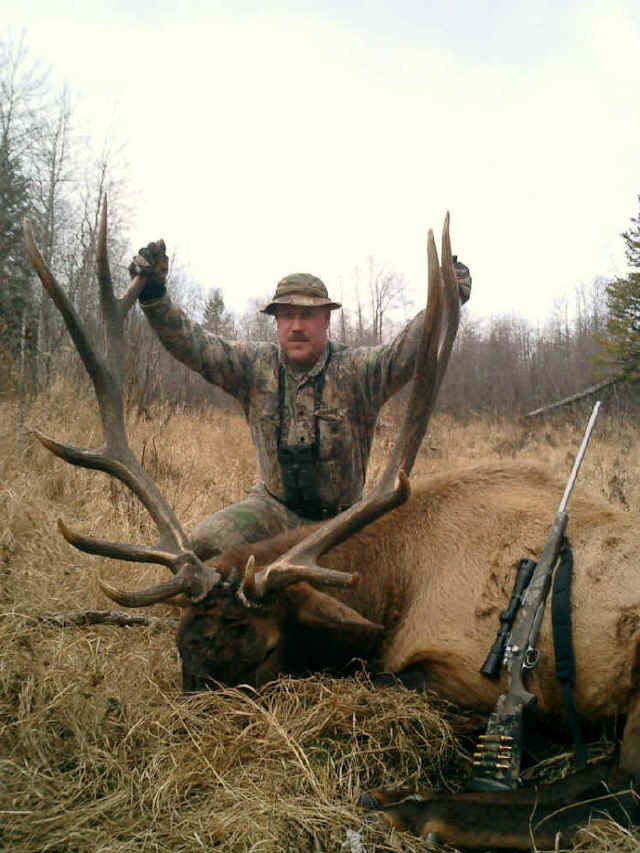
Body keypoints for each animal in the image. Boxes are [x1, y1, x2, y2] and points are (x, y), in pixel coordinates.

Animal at [24, 202, 640, 849]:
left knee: (621, 786)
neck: (395, 580)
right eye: (183, 645)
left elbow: (390, 683)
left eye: (262, 648)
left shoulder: (467, 670)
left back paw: (416, 807)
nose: (191, 743)